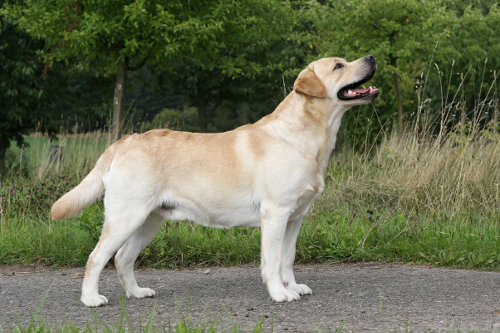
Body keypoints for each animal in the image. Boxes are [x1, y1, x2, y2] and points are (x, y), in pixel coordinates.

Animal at [51, 55, 378, 306]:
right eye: (338, 65)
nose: (372, 57)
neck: (306, 136)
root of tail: (123, 142)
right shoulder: (275, 214)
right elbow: (272, 261)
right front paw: (279, 293)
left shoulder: (295, 217)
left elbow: (288, 257)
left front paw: (293, 286)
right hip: (126, 216)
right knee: (97, 257)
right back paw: (91, 299)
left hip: (148, 220)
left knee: (123, 258)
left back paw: (138, 292)